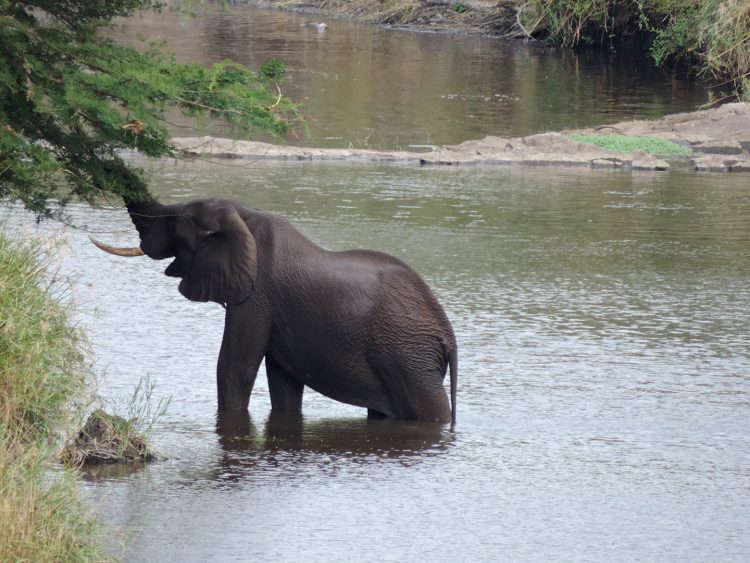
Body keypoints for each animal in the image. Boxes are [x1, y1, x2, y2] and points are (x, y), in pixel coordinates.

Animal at [92, 197, 457, 424]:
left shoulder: (257, 295)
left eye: (176, 222)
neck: (244, 215)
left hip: (409, 356)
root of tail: (448, 336)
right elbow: (283, 383)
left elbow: (234, 369)